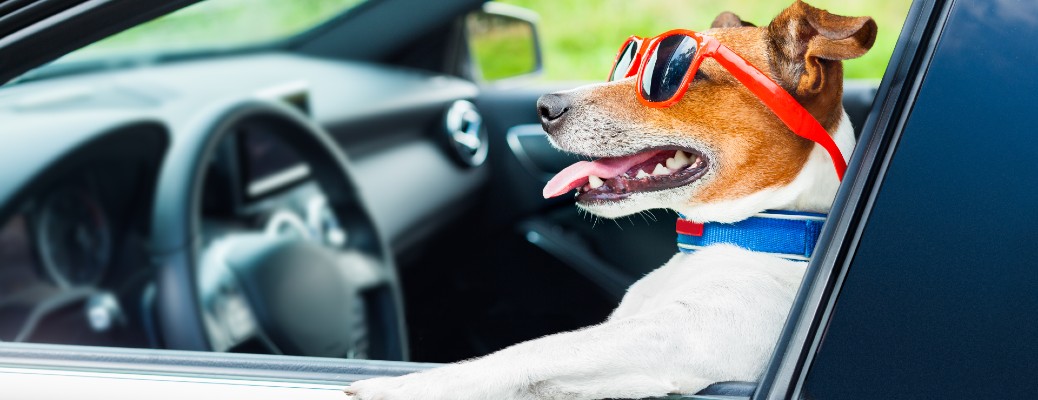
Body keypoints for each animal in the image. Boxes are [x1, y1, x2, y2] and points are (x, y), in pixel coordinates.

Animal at [344, 1, 871, 396]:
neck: (744, 234)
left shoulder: (682, 337)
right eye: (628, 62)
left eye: (679, 74)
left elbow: (539, 347)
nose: (544, 106)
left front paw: (400, 386)